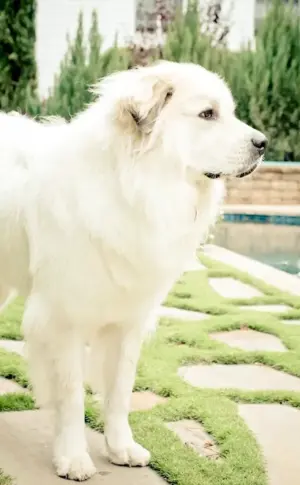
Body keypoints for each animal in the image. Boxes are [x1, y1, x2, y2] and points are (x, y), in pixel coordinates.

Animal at [0, 61, 268, 480]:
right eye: (208, 114)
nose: (264, 143)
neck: (135, 188)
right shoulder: (63, 319)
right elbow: (71, 396)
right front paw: (73, 457)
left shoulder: (128, 320)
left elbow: (120, 392)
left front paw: (120, 447)